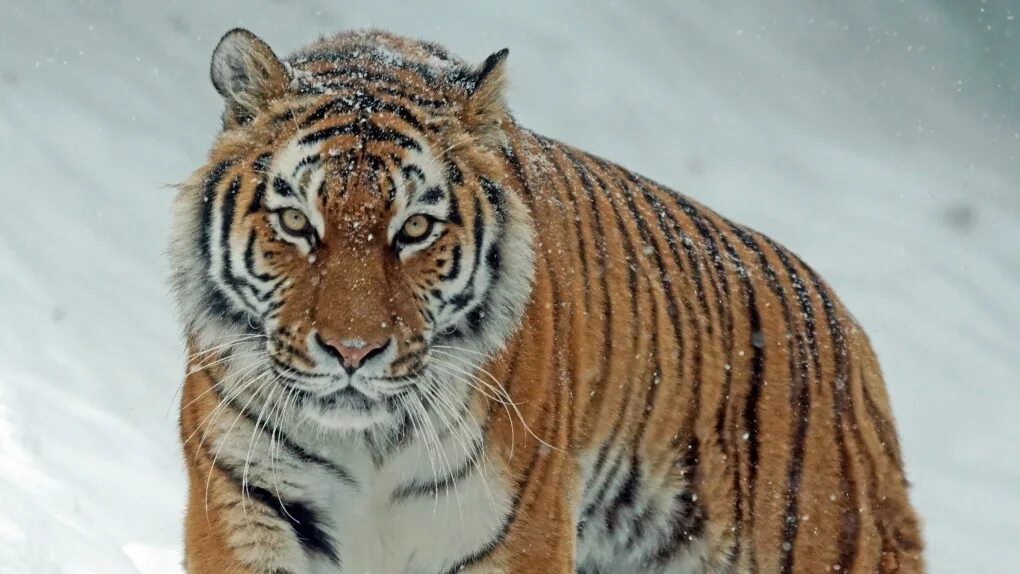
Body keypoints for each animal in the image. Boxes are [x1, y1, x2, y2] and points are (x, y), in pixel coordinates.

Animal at [170, 27, 924, 574]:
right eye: (297, 222)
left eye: (414, 229)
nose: (352, 352)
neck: (371, 446)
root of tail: (854, 340)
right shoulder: (243, 501)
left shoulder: (516, 534)